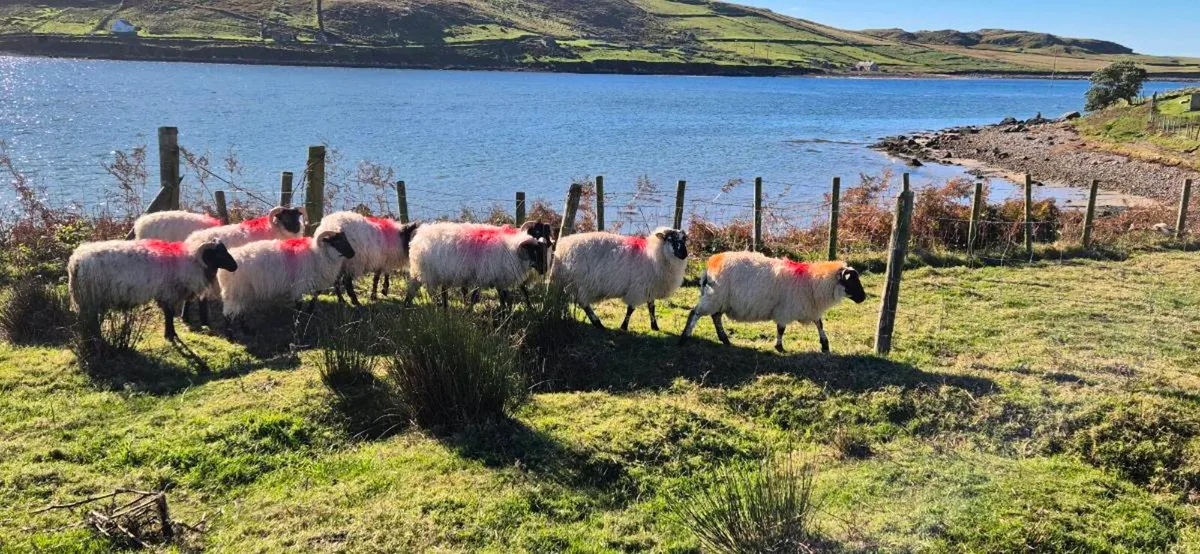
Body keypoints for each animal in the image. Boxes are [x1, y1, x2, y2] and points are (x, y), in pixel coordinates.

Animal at [68, 238, 238, 341]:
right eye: (219, 253)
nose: (235, 266)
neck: (192, 262)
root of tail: (75, 261)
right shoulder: (168, 293)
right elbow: (169, 315)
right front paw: (170, 335)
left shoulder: (166, 294)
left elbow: (168, 315)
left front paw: (170, 334)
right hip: (90, 297)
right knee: (91, 321)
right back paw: (96, 338)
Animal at [217, 231, 355, 334]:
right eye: (337, 241)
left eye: (346, 239)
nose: (352, 254)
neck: (317, 254)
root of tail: (222, 272)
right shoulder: (300, 284)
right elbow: (299, 304)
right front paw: (298, 320)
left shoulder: (313, 281)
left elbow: (316, 294)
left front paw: (310, 310)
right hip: (235, 291)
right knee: (228, 313)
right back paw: (230, 335)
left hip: (243, 292)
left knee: (240, 312)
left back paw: (246, 330)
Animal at [405, 221, 550, 309]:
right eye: (534, 251)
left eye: (544, 251)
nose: (544, 270)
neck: (512, 249)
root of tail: (420, 234)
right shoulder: (482, 276)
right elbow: (475, 298)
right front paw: (468, 312)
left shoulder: (497, 278)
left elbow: (503, 299)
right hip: (423, 272)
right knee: (413, 290)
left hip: (442, 273)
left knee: (443, 292)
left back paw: (444, 309)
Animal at [549, 227, 688, 331]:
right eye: (670, 239)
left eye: (684, 239)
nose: (684, 254)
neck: (653, 254)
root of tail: (560, 248)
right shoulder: (637, 288)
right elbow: (631, 309)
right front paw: (624, 327)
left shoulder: (650, 287)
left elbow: (651, 308)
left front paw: (655, 327)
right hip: (580, 282)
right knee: (584, 303)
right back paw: (598, 323)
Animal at [679, 253, 867, 353]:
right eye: (852, 281)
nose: (863, 298)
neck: (812, 282)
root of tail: (710, 265)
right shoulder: (785, 310)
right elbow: (781, 329)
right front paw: (779, 347)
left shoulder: (809, 307)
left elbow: (819, 324)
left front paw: (825, 345)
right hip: (714, 297)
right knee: (695, 313)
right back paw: (685, 336)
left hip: (720, 301)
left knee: (716, 317)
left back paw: (724, 339)